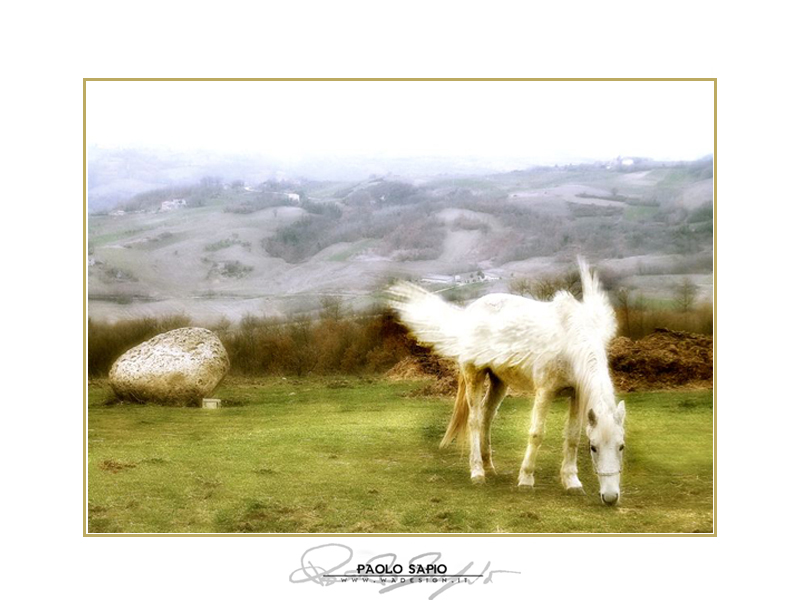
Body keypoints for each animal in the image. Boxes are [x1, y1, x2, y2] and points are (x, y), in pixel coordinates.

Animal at [388, 258, 626, 506]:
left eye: (621, 446)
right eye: (594, 448)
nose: (610, 497)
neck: (569, 342)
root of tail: (470, 311)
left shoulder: (576, 394)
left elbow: (571, 437)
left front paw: (572, 482)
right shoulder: (545, 391)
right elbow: (536, 434)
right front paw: (526, 480)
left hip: (498, 382)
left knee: (486, 416)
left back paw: (489, 467)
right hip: (474, 375)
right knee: (475, 420)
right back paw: (477, 472)